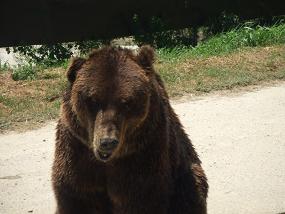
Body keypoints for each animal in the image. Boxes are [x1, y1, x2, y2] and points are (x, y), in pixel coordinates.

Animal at [51, 44, 206, 212]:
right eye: (93, 100)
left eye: (126, 102)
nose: (107, 142)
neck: (107, 161)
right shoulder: (75, 147)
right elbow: (77, 195)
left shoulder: (143, 152)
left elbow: (140, 198)